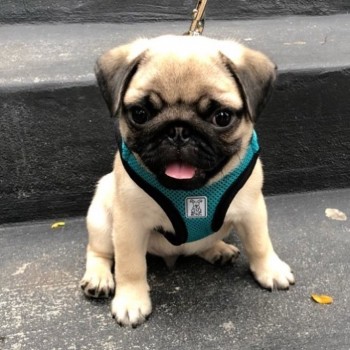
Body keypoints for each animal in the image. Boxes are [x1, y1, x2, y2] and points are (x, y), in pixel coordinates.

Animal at [80, 34, 294, 326]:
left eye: (222, 118)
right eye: (140, 114)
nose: (178, 130)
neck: (192, 192)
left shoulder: (252, 211)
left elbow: (260, 243)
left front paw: (270, 269)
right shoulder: (128, 225)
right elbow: (130, 265)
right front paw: (131, 301)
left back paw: (217, 250)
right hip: (101, 217)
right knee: (99, 251)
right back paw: (98, 277)